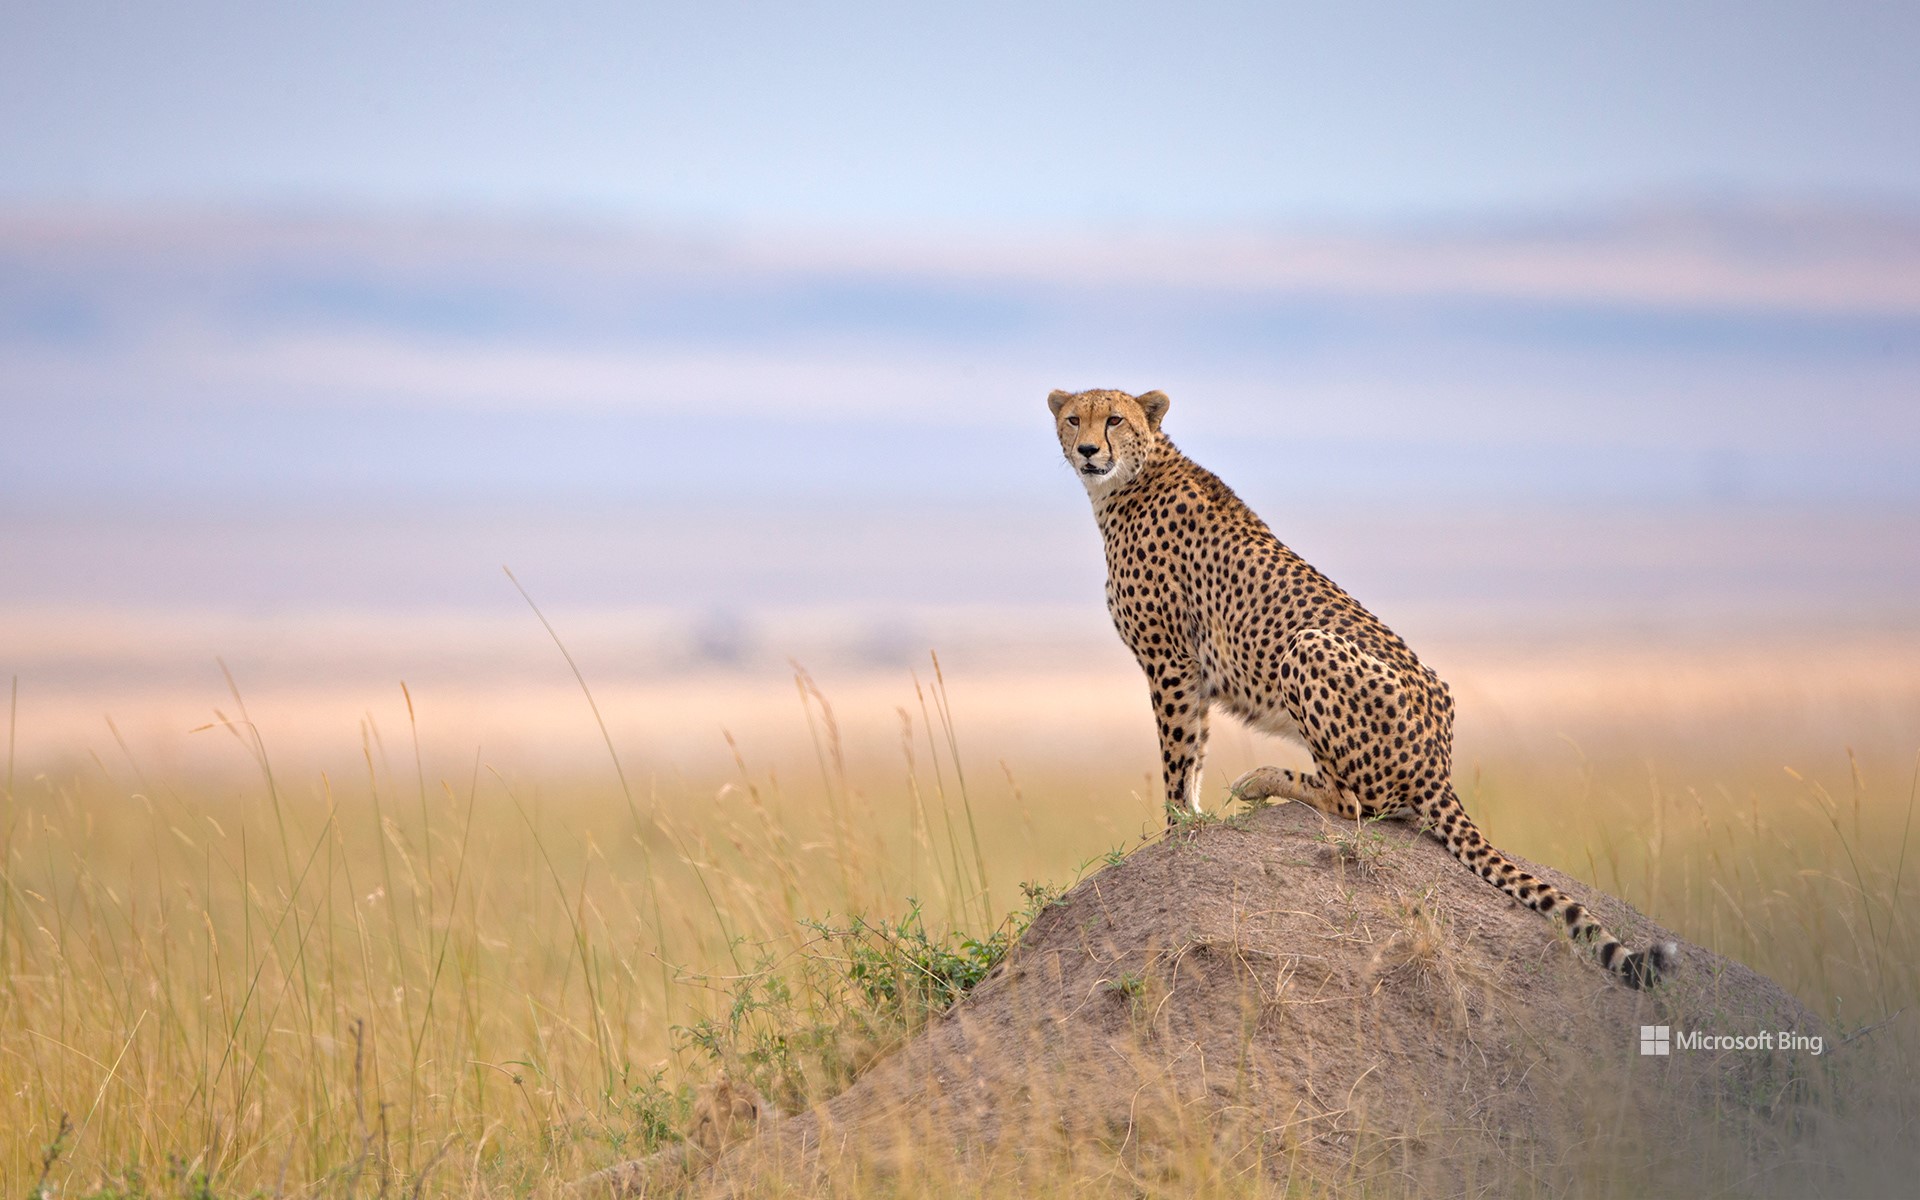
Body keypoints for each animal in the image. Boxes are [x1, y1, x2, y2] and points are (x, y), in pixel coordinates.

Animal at [1049, 386, 1677, 988]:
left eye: (1115, 419)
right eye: (1074, 418)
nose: (1088, 450)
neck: (1126, 483)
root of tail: (1440, 762)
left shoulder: (1172, 663)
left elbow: (1178, 757)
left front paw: (1177, 827)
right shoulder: (1190, 670)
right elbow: (1195, 748)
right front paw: (1190, 822)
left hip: (1306, 646)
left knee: (1355, 803)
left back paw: (1263, 780)